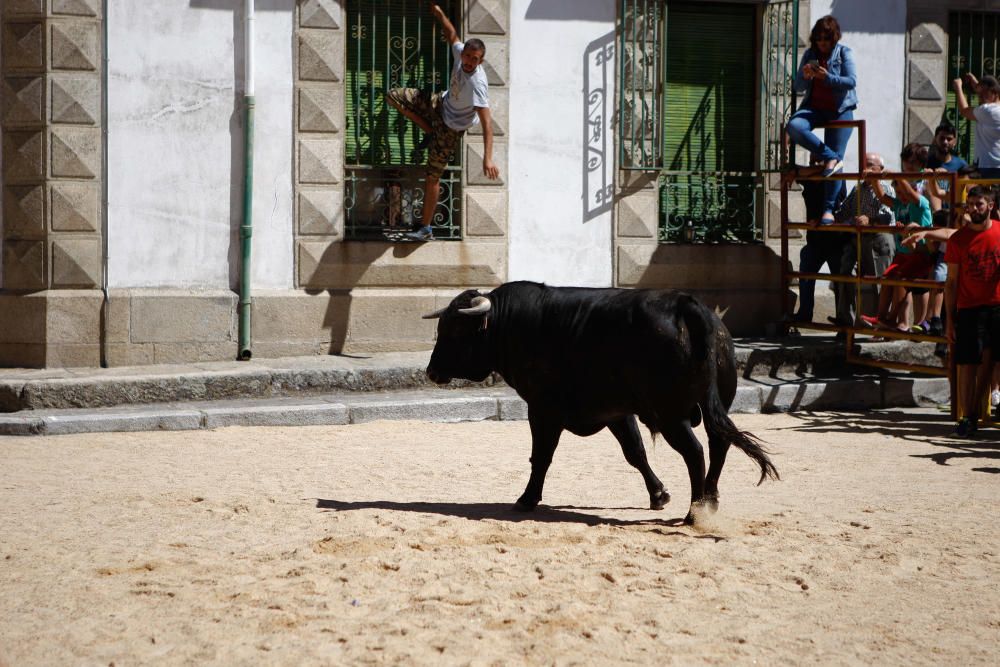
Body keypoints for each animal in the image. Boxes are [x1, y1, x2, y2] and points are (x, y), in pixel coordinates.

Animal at [424, 280, 780, 520]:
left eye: (455, 331)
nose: (431, 371)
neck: (511, 323)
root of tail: (686, 305)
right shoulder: (616, 412)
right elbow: (635, 452)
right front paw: (658, 494)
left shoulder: (542, 409)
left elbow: (541, 457)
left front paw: (527, 498)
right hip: (711, 406)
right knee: (719, 444)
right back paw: (711, 500)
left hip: (671, 416)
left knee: (695, 452)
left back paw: (694, 513)